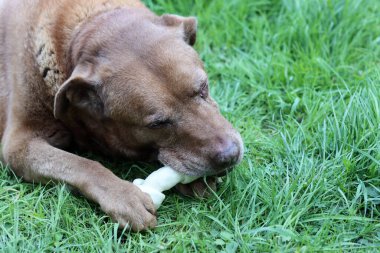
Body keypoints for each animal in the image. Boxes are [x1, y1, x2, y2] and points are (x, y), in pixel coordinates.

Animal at [0, 0, 243, 230]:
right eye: (158, 124)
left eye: (204, 88)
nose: (230, 155)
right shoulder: (19, 145)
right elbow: (81, 164)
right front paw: (124, 197)